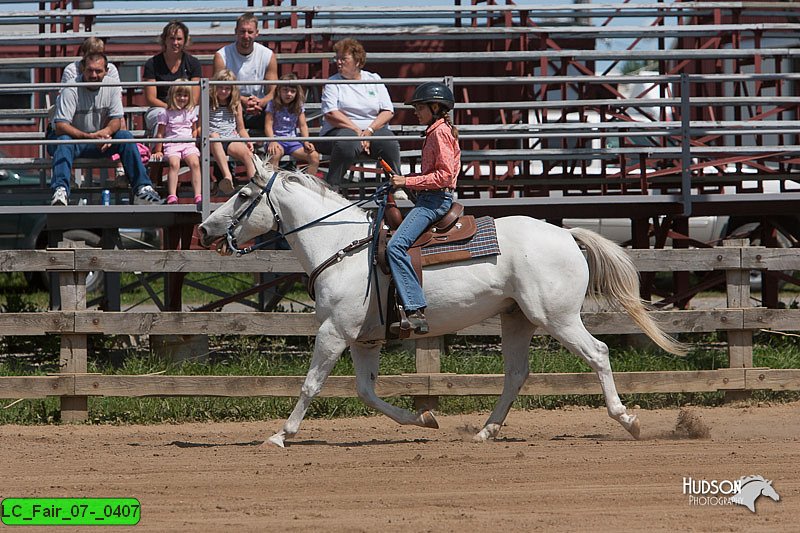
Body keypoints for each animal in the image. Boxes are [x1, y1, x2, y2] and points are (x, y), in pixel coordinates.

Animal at [197, 158, 684, 444]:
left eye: (244, 195)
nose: (203, 229)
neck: (341, 246)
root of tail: (567, 234)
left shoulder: (333, 332)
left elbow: (311, 384)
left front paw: (281, 435)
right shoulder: (363, 339)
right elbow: (366, 392)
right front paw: (425, 419)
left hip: (558, 318)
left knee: (598, 353)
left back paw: (628, 420)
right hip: (518, 319)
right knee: (516, 373)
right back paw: (486, 431)